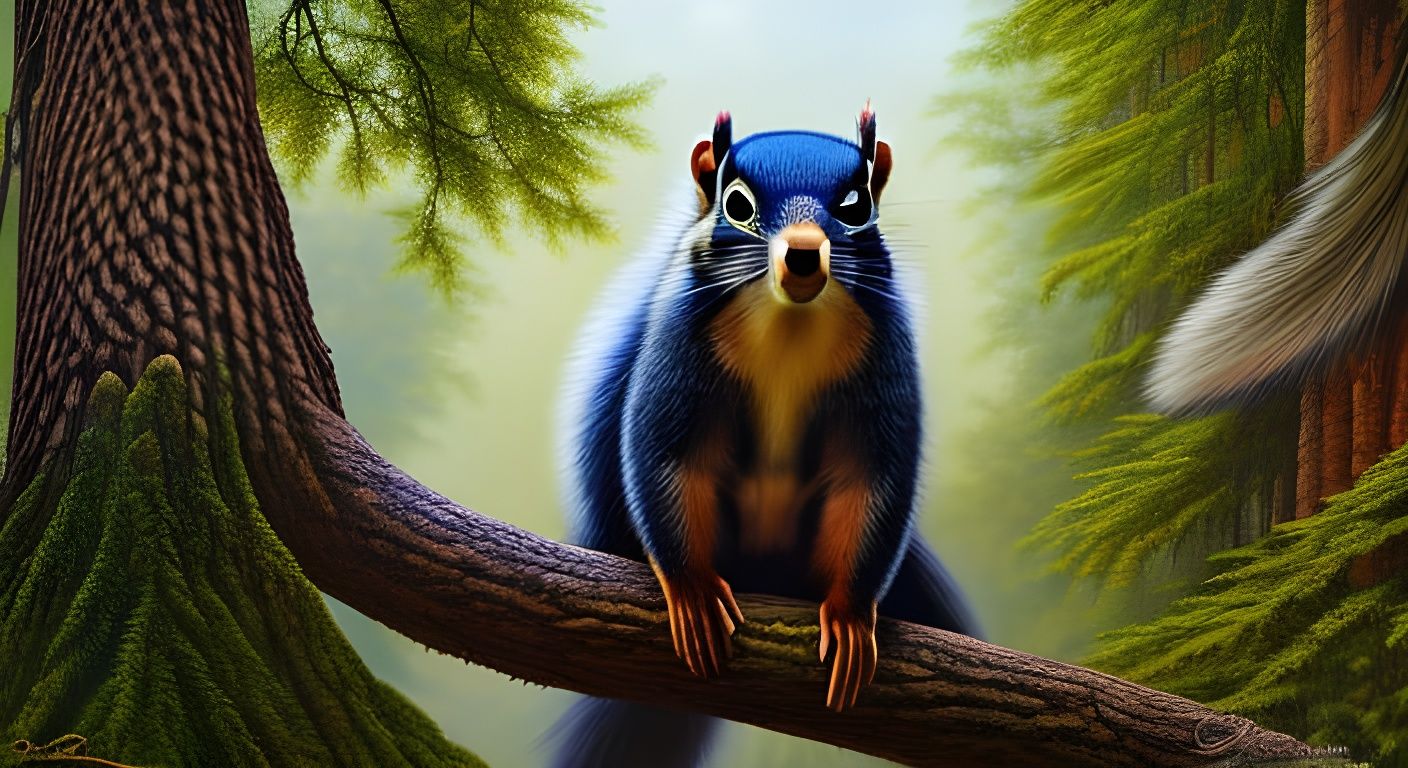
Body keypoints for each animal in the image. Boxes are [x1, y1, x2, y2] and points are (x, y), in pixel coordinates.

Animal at [550, 107, 980, 768]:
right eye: (736, 203)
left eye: (857, 205)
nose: (802, 255)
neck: (789, 320)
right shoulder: (679, 340)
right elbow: (664, 457)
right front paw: (694, 592)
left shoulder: (886, 349)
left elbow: (872, 481)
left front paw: (849, 616)